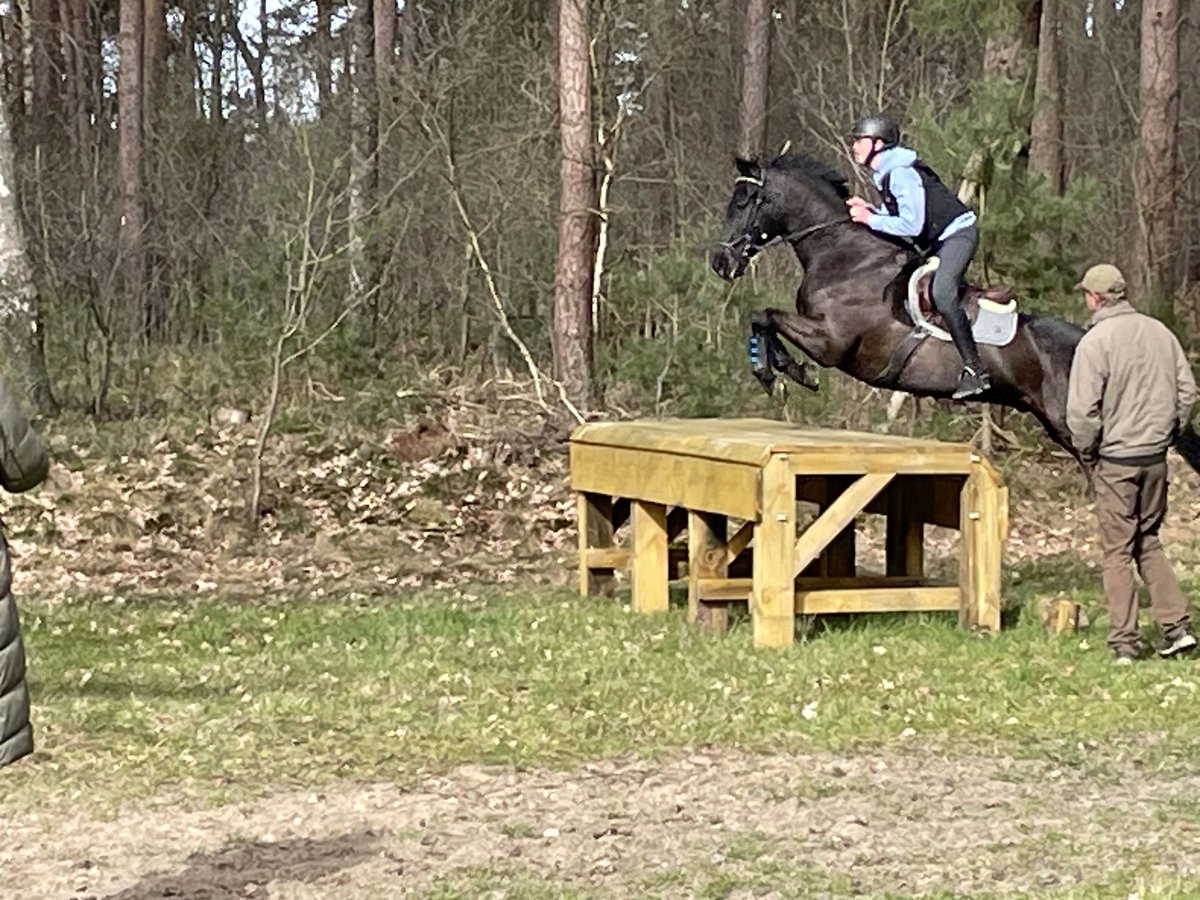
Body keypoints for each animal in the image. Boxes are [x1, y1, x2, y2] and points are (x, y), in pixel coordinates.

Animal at [710, 151, 1104, 460]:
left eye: (745, 200)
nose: (719, 261)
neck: (844, 255)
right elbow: (761, 317)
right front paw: (780, 371)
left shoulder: (831, 342)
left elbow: (766, 316)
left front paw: (786, 371)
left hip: (1070, 424)